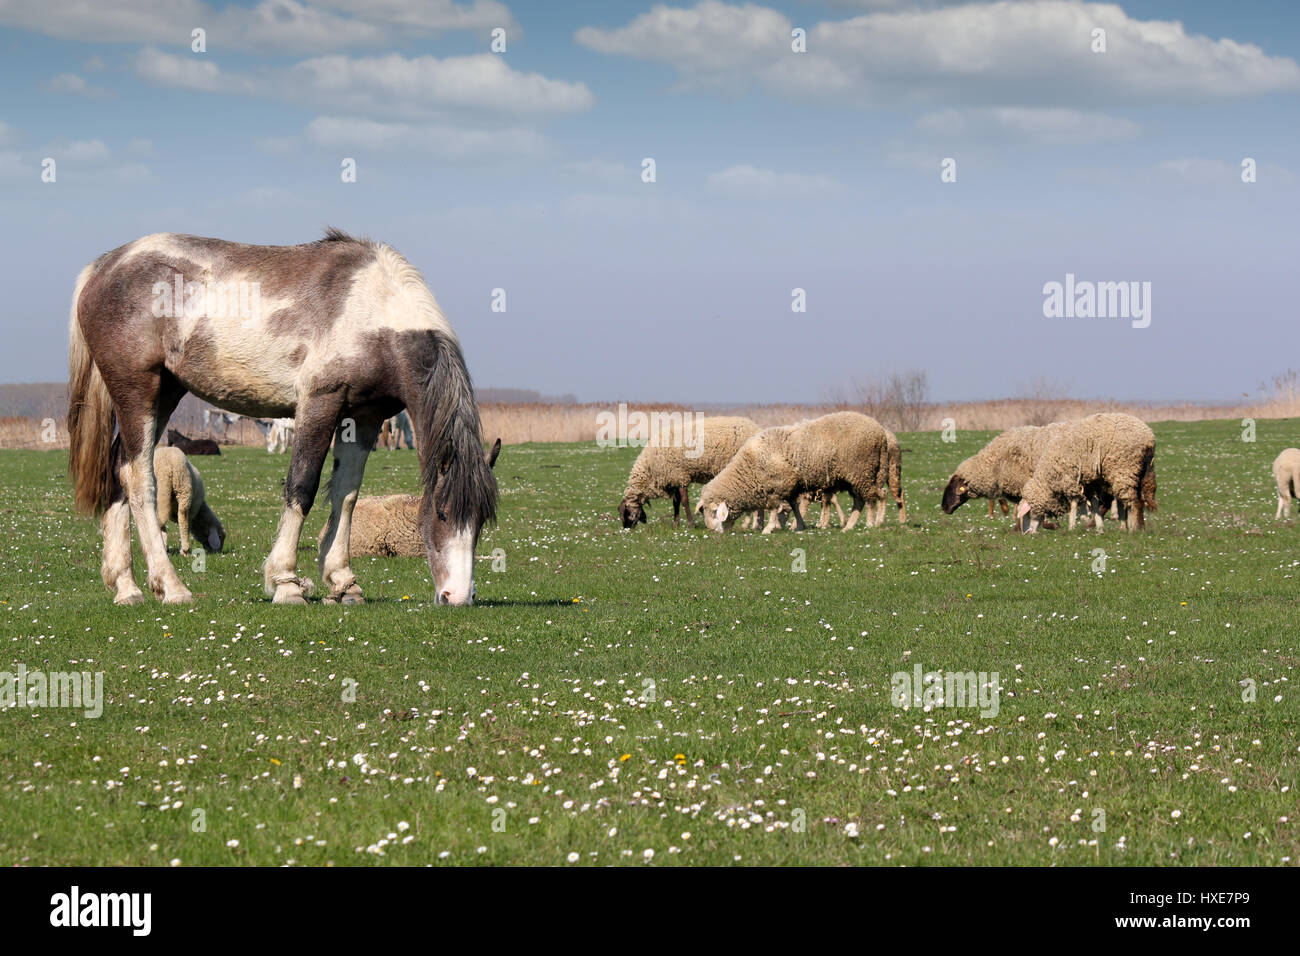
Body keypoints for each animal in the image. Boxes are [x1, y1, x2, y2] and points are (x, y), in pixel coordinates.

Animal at [67, 229, 498, 607]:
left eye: (480, 521)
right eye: (441, 513)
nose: (458, 596)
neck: (373, 312)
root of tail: (104, 266)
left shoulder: (364, 418)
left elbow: (346, 495)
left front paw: (343, 583)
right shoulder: (319, 405)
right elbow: (302, 488)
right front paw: (286, 583)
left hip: (166, 392)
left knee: (119, 469)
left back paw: (126, 587)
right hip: (138, 393)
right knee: (140, 478)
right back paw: (170, 586)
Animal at [618, 416, 761, 529]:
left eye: (627, 513)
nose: (627, 529)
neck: (650, 467)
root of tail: (755, 427)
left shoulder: (680, 476)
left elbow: (684, 501)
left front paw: (691, 524)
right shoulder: (674, 479)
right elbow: (676, 502)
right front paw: (676, 524)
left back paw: (754, 525)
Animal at [698, 411, 891, 533]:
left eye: (714, 512)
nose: (713, 531)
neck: (748, 470)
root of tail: (881, 432)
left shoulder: (777, 487)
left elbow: (774, 508)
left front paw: (768, 528)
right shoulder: (790, 488)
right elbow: (795, 507)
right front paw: (799, 526)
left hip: (862, 471)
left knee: (870, 498)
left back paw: (870, 522)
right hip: (859, 475)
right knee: (868, 498)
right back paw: (851, 526)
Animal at [1015, 413, 1156, 533]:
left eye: (1028, 513)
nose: (1027, 533)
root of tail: (1148, 436)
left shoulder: (1070, 479)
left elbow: (1073, 503)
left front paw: (1071, 527)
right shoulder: (1090, 483)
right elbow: (1093, 505)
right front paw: (1099, 528)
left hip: (1124, 468)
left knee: (1133, 501)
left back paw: (1133, 529)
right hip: (1142, 471)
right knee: (1140, 499)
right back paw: (1138, 528)